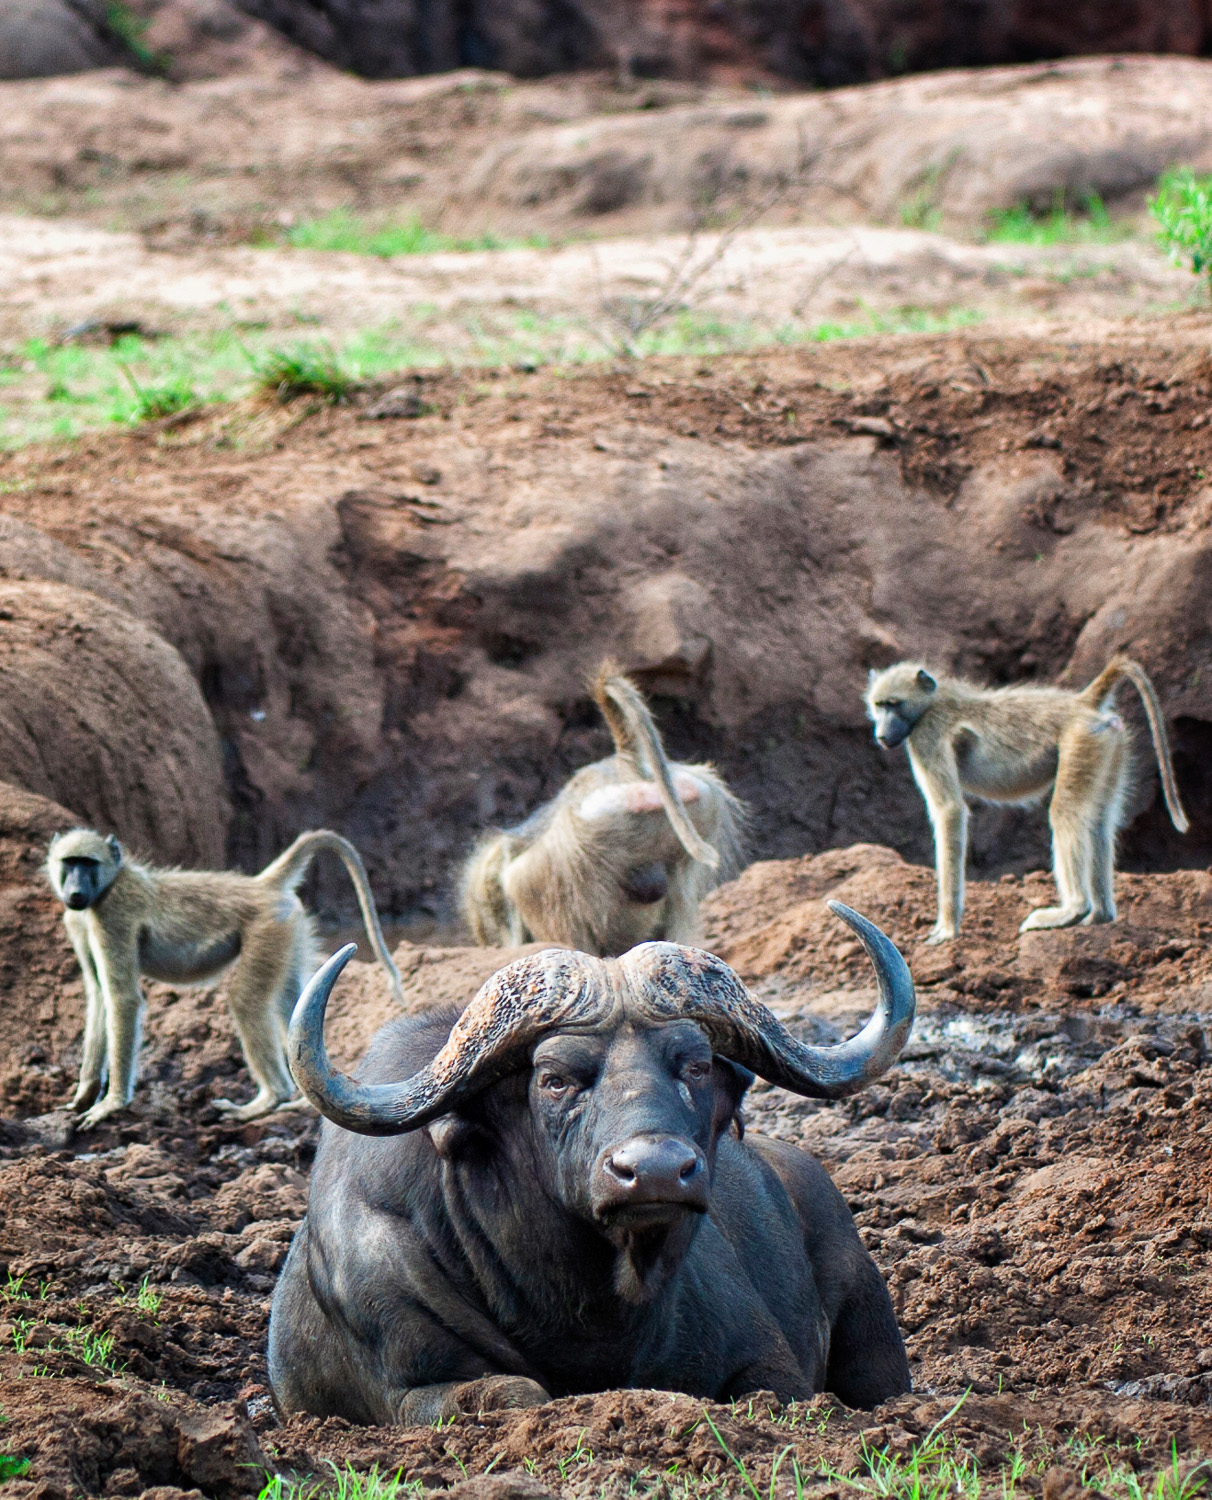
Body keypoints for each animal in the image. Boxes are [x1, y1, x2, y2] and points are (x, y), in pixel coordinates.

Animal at [268, 902, 914, 1424]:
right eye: (554, 1079)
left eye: (697, 1065)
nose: (655, 1171)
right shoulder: (407, 1385)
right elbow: (517, 1391)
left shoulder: (770, 1362)